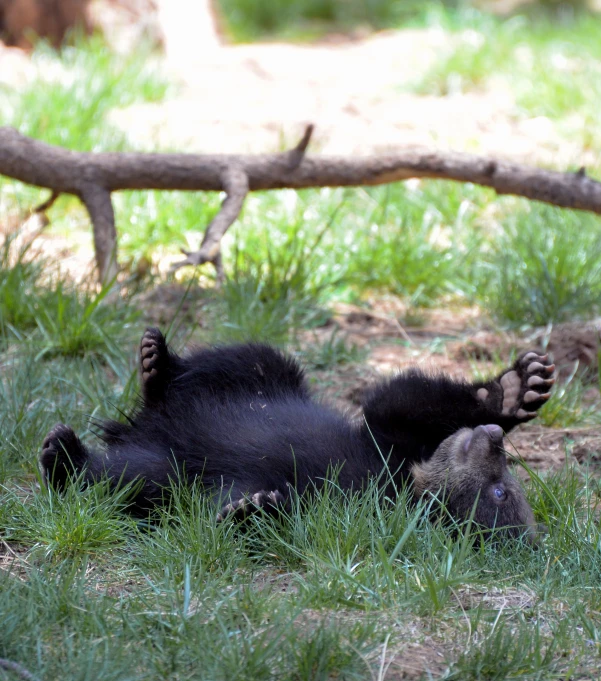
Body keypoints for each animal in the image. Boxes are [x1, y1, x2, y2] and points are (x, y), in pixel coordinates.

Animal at [41, 330, 552, 540]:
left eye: (502, 492)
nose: (493, 439)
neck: (404, 484)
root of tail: (140, 428)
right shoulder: (392, 443)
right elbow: (402, 401)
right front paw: (515, 389)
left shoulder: (353, 504)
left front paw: (252, 508)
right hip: (262, 377)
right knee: (243, 360)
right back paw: (155, 360)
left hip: (164, 471)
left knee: (123, 479)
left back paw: (63, 454)